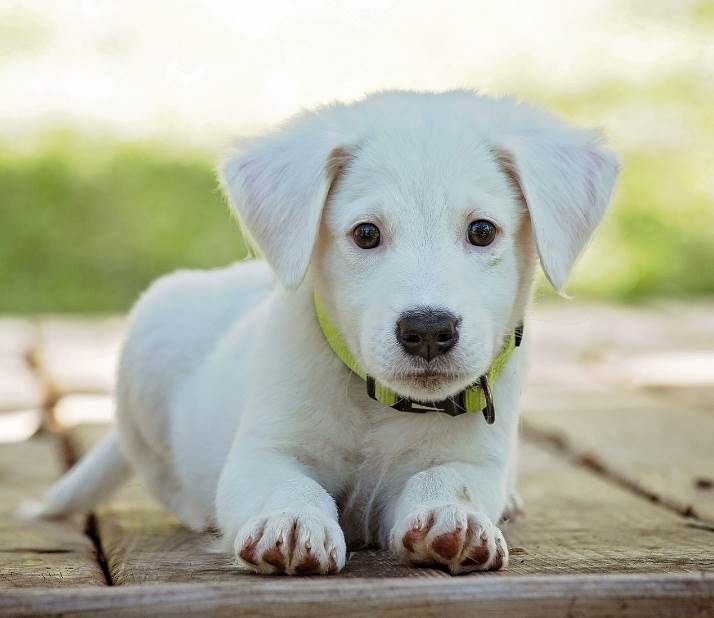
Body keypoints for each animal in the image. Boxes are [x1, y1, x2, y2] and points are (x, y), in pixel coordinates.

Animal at [40, 88, 616, 572]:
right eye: (366, 234)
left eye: (482, 231)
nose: (428, 330)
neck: (380, 405)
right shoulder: (263, 453)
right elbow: (290, 485)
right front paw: (293, 522)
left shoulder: (473, 459)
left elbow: (448, 479)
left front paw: (454, 519)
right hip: (150, 341)